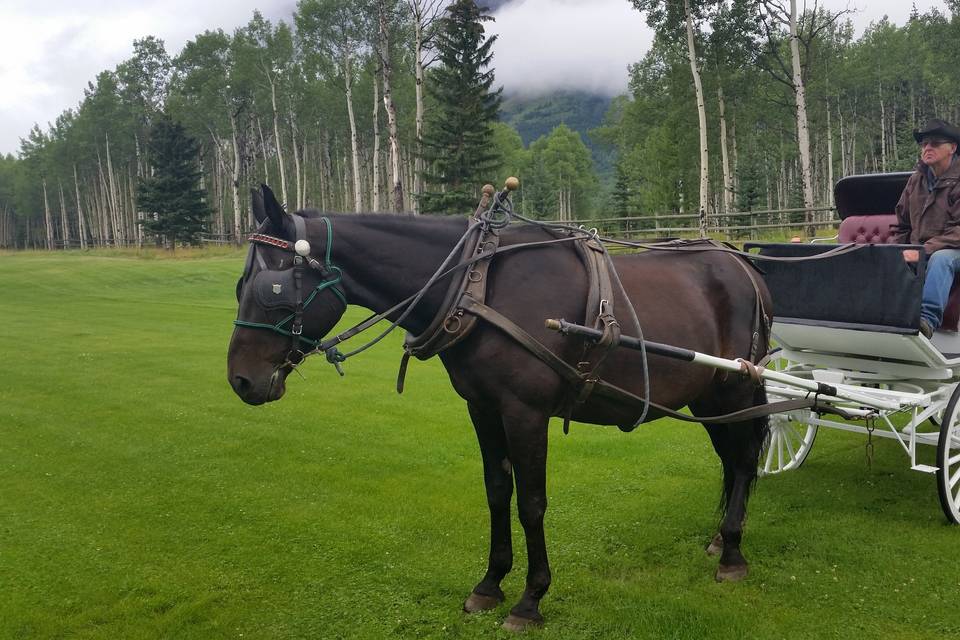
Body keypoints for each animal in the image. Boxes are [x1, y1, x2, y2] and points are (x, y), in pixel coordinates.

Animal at [229, 188, 776, 632]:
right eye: (239, 286)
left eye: (270, 289)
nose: (240, 379)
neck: (477, 284)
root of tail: (741, 262)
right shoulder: (483, 409)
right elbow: (497, 493)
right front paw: (490, 583)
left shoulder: (524, 413)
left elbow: (531, 503)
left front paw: (530, 598)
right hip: (706, 396)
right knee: (731, 459)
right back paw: (721, 537)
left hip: (734, 387)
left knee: (745, 459)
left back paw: (731, 551)